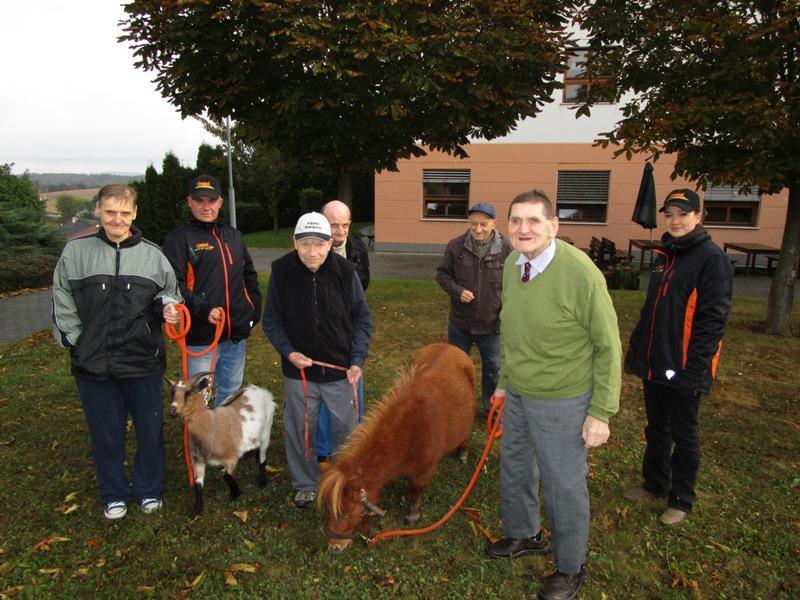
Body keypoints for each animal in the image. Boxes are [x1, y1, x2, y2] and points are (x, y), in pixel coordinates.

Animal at [167, 370, 276, 516]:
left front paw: (235, 494)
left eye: (188, 393)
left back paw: (262, 481)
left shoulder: (230, 458)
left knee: (263, 456)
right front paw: (196, 510)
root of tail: (260, 390)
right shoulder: (198, 461)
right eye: (172, 392)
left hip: (266, 431)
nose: (173, 410)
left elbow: (228, 476)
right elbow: (198, 484)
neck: (211, 424)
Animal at [314, 344, 476, 552]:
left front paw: (412, 514)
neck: (409, 432)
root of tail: (453, 347)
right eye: (329, 510)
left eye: (346, 513)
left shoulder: (425, 470)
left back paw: (462, 452)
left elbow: (416, 489)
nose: (333, 546)